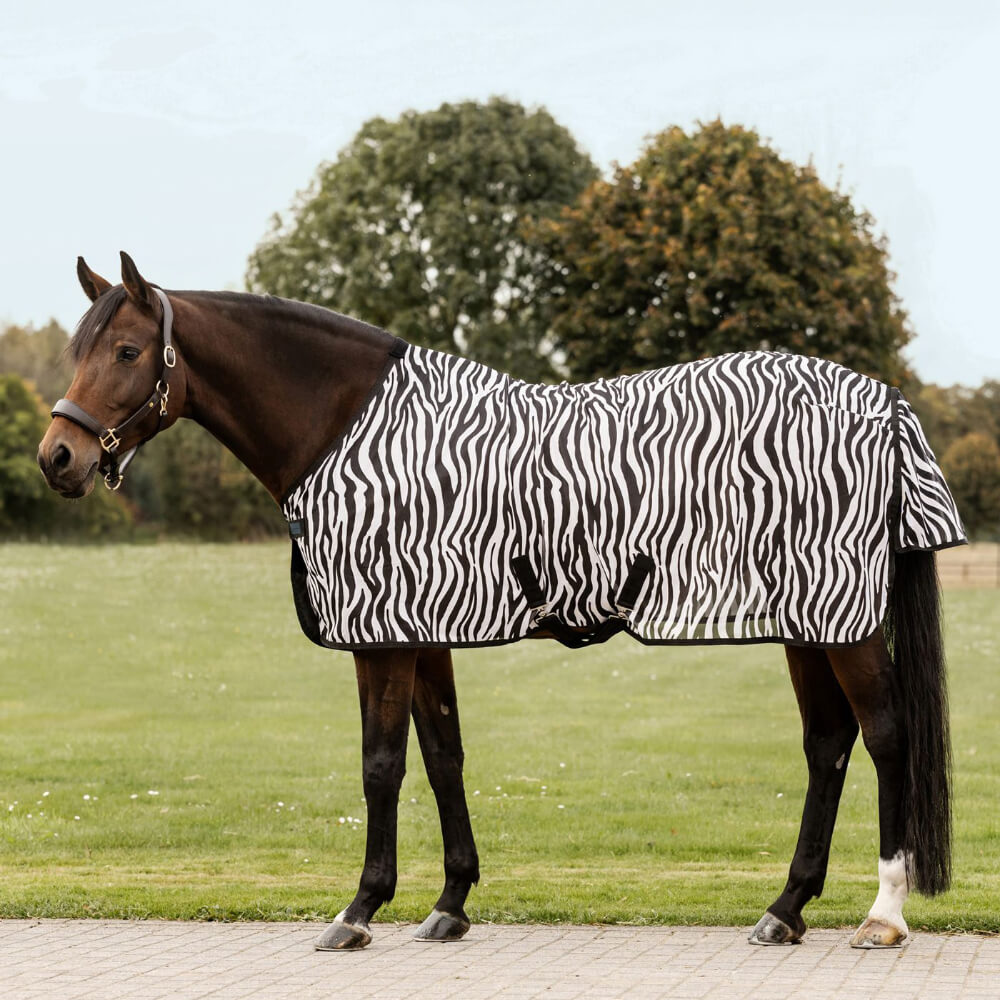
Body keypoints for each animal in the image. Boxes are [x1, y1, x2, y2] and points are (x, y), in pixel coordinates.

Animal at [37, 253, 960, 952]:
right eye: (84, 347)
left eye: (128, 351)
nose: (57, 457)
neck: (349, 430)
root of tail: (884, 403)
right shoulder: (424, 631)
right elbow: (444, 755)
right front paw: (449, 905)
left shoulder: (382, 637)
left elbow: (381, 764)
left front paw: (359, 910)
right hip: (805, 622)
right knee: (828, 744)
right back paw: (784, 909)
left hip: (841, 621)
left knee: (884, 736)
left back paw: (883, 915)